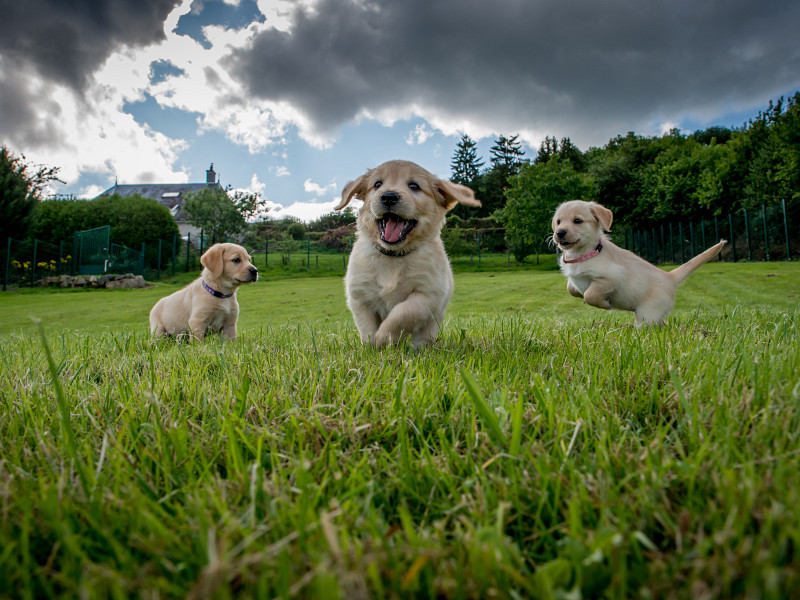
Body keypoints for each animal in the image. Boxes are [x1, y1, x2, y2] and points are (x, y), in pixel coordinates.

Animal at [332, 159, 478, 346]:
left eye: (414, 186)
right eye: (377, 184)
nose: (388, 196)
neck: (393, 255)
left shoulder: (429, 293)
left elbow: (403, 313)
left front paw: (383, 337)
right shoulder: (359, 295)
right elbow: (366, 327)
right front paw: (372, 345)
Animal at [552, 200, 728, 324]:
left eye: (577, 221)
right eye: (558, 221)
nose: (559, 233)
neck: (585, 253)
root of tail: (669, 277)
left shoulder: (612, 278)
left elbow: (590, 294)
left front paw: (606, 304)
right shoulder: (576, 279)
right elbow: (571, 288)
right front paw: (577, 292)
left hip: (647, 314)